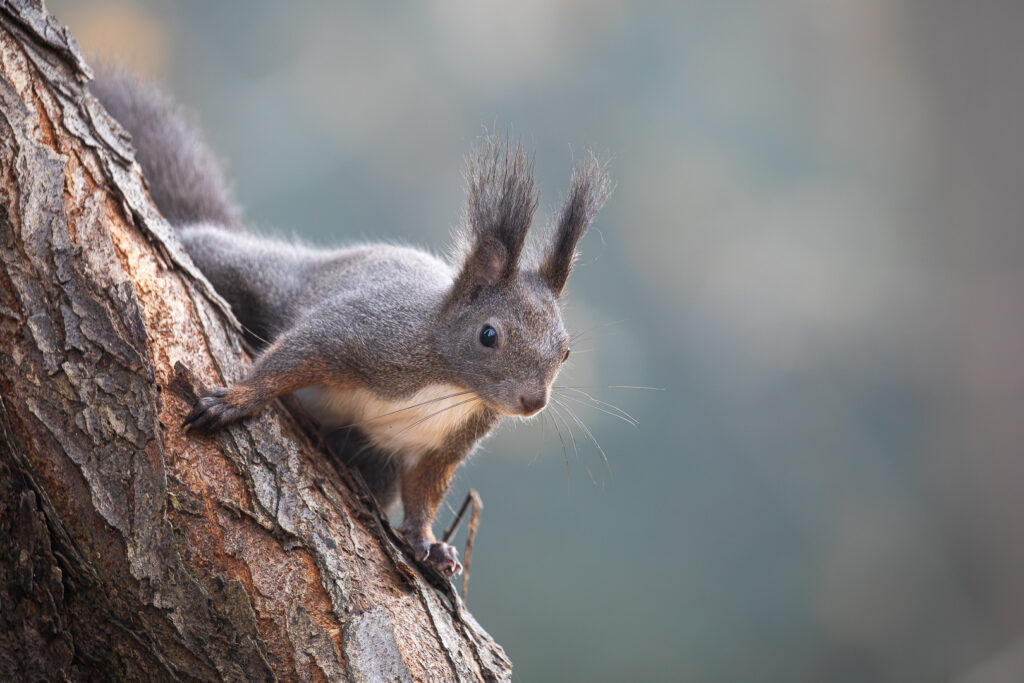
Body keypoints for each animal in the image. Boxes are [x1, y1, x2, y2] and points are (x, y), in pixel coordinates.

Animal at [91, 70, 610, 578]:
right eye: (489, 335)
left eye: (565, 351)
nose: (533, 402)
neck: (449, 384)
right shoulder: (371, 334)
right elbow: (299, 351)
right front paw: (238, 399)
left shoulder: (445, 445)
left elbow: (424, 493)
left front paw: (427, 544)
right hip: (258, 272)